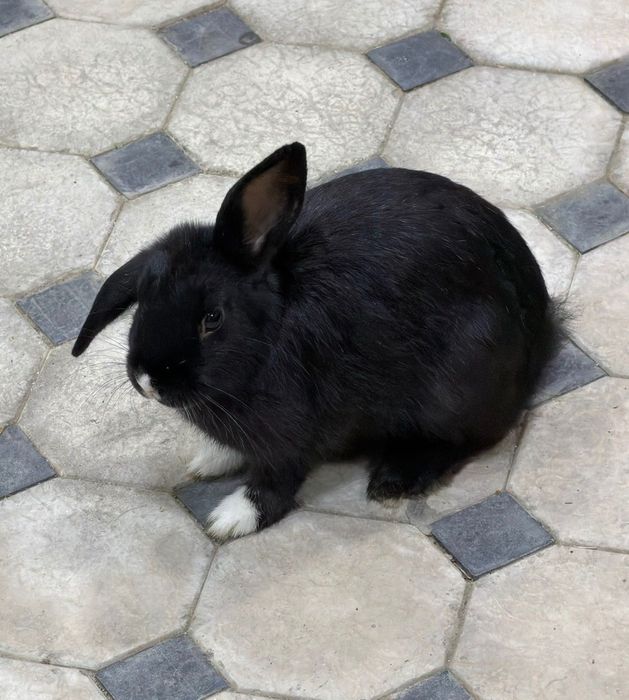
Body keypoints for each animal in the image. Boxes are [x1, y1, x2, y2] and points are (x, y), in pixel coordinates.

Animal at [73, 142, 561, 540]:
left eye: (212, 318)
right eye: (143, 300)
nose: (148, 380)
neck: (269, 332)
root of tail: (541, 332)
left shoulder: (292, 434)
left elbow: (276, 480)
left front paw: (232, 518)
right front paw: (209, 460)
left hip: (461, 381)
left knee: (471, 438)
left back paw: (394, 478)